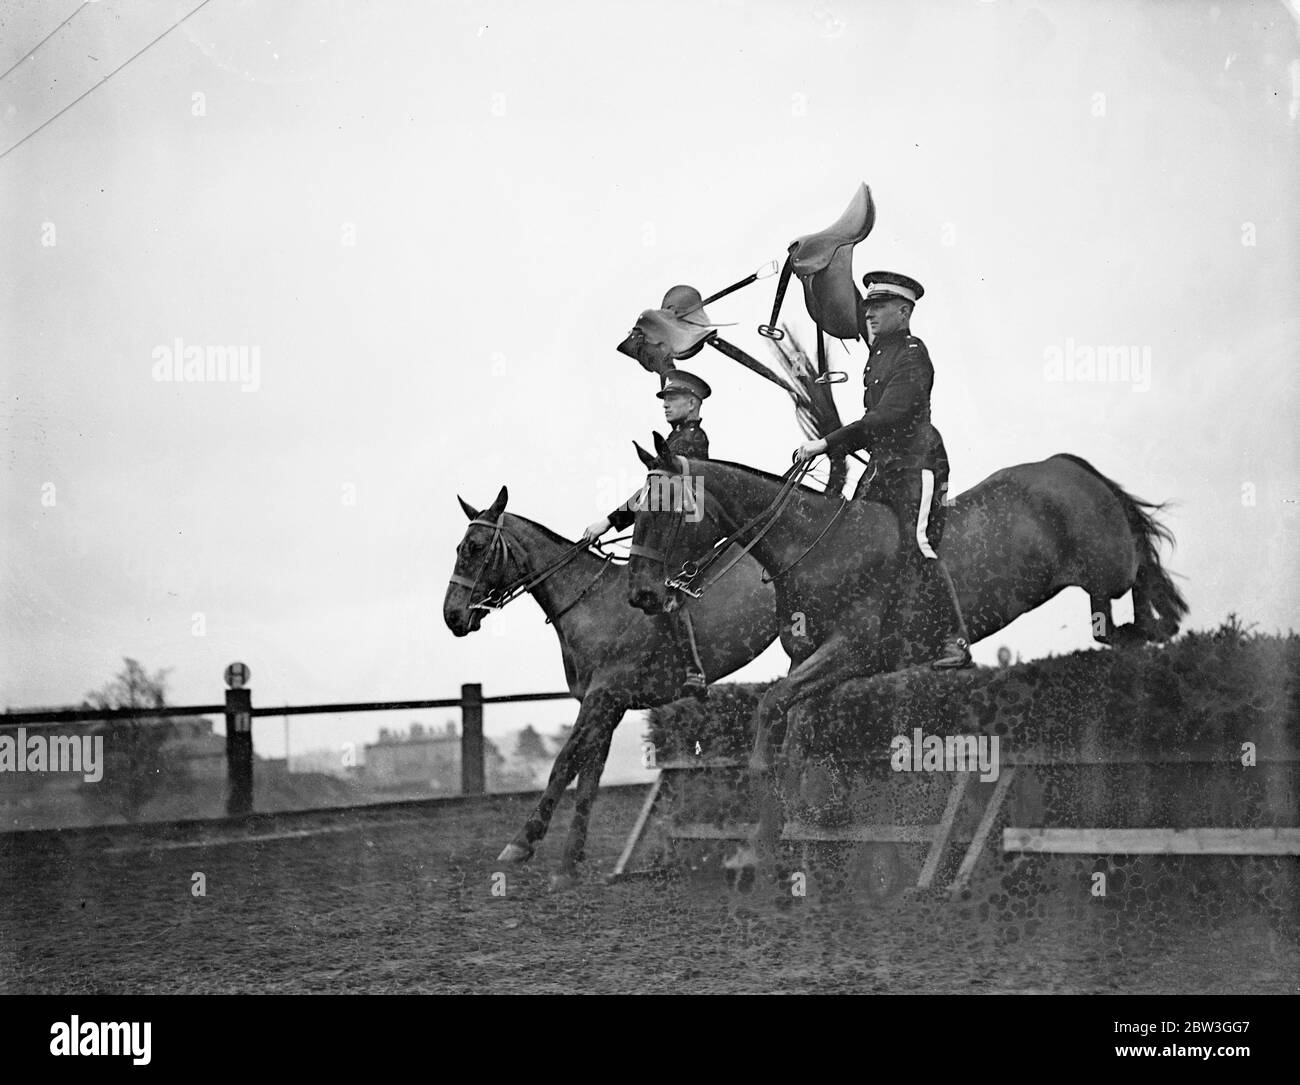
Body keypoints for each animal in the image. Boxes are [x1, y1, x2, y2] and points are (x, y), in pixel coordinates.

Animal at [441, 488, 774, 888]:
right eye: (459, 547)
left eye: (475, 547)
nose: (452, 616)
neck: (591, 604)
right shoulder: (608, 706)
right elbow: (589, 776)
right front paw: (569, 864)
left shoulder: (602, 697)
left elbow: (565, 763)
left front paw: (521, 845)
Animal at [629, 436, 1190, 868]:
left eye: (666, 510)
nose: (642, 596)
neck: (812, 549)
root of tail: (1064, 464)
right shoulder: (808, 661)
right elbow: (792, 737)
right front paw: (784, 830)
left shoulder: (848, 651)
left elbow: (770, 710)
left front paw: (769, 826)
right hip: (1095, 578)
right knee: (1109, 621)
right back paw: (1140, 633)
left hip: (1107, 562)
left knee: (1139, 571)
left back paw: (1156, 624)